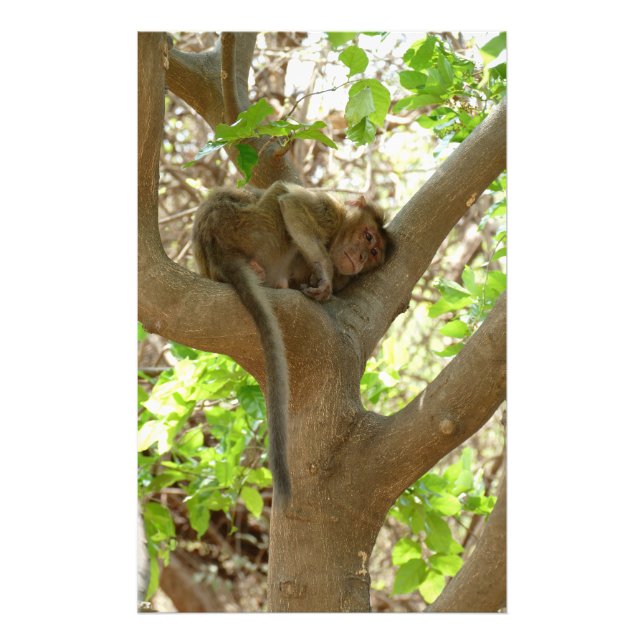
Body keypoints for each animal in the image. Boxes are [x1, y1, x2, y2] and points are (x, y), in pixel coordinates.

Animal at [192, 181, 388, 503]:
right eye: (368, 236)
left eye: (373, 253)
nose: (360, 257)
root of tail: (215, 246)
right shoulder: (329, 209)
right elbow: (292, 203)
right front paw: (325, 271)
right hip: (254, 225)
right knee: (278, 193)